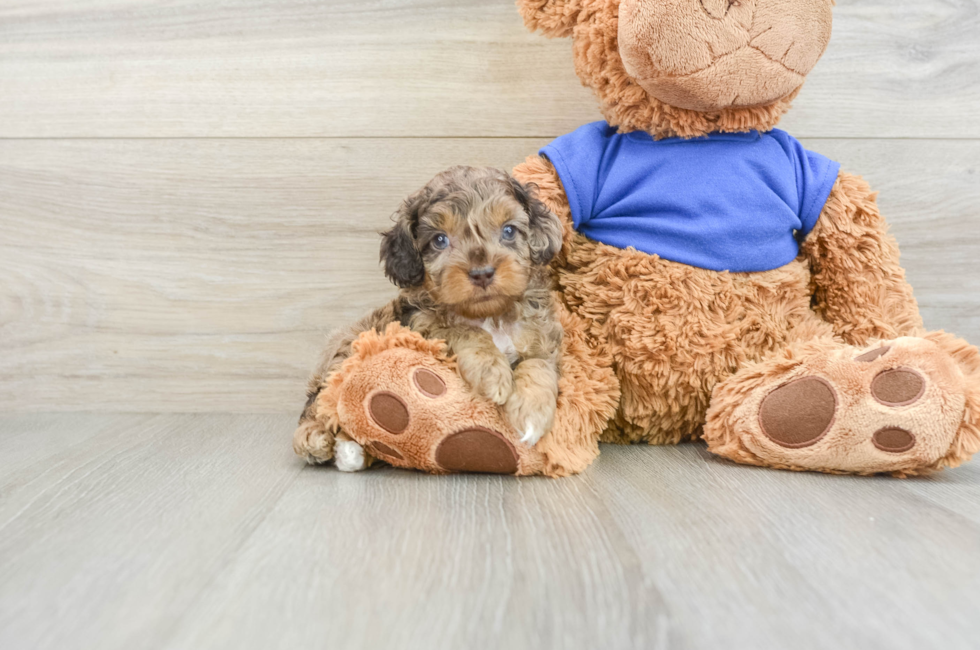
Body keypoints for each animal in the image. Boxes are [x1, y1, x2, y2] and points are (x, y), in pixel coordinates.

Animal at [294, 166, 564, 470]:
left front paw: (531, 412)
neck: (489, 315)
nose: (482, 273)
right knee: (319, 401)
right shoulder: (422, 328)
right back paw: (314, 437)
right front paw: (491, 373)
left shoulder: (542, 338)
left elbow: (538, 365)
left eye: (508, 231)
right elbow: (465, 331)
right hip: (344, 349)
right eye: (439, 240)